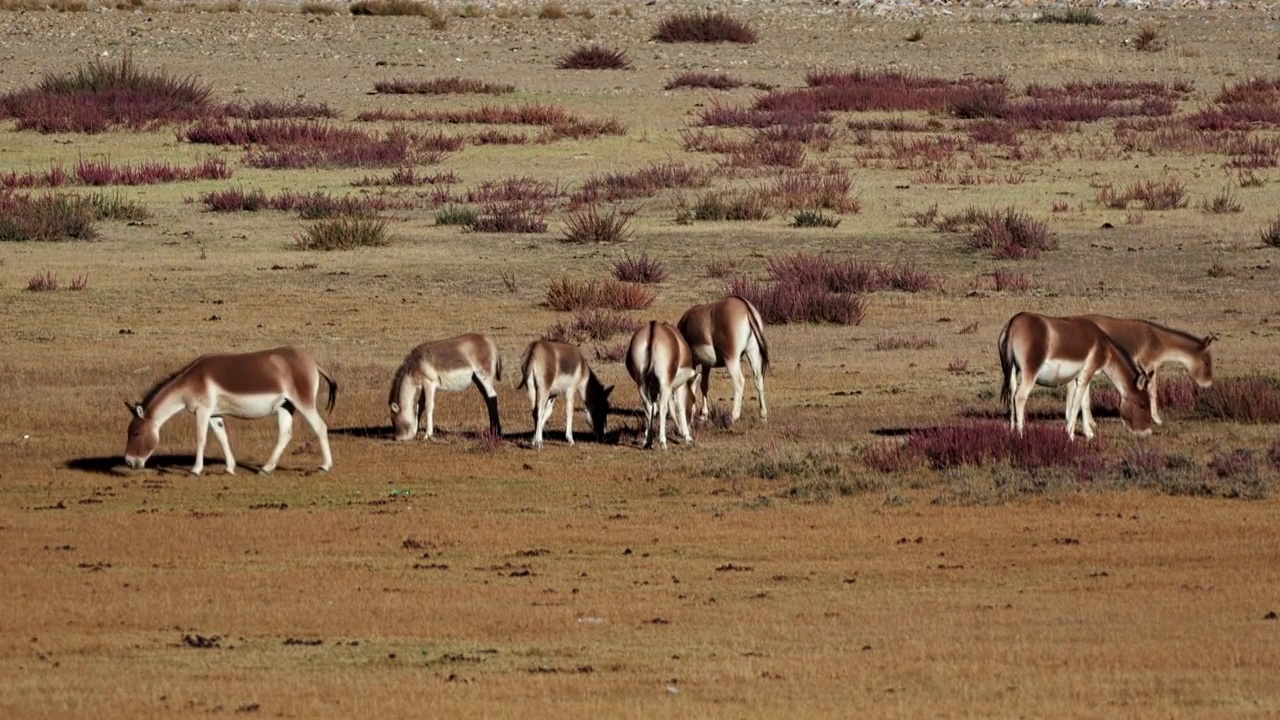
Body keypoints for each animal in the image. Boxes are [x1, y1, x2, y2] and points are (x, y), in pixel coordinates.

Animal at [624, 320, 696, 448]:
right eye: (693, 400)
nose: (690, 424)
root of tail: (654, 328)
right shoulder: (678, 386)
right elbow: (679, 407)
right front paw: (687, 436)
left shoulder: (654, 390)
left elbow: (656, 408)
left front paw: (646, 437)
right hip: (664, 384)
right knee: (663, 406)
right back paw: (663, 442)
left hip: (641, 385)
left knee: (648, 406)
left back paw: (649, 441)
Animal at [998, 312, 1162, 438]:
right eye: (1142, 404)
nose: (1147, 433)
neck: (1103, 346)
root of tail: (1013, 323)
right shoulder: (1086, 375)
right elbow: (1076, 403)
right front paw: (1070, 435)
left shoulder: (1081, 377)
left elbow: (1084, 403)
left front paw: (1088, 433)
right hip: (1029, 374)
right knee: (1019, 397)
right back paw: (1021, 434)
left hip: (1012, 372)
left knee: (1012, 396)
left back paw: (1012, 431)